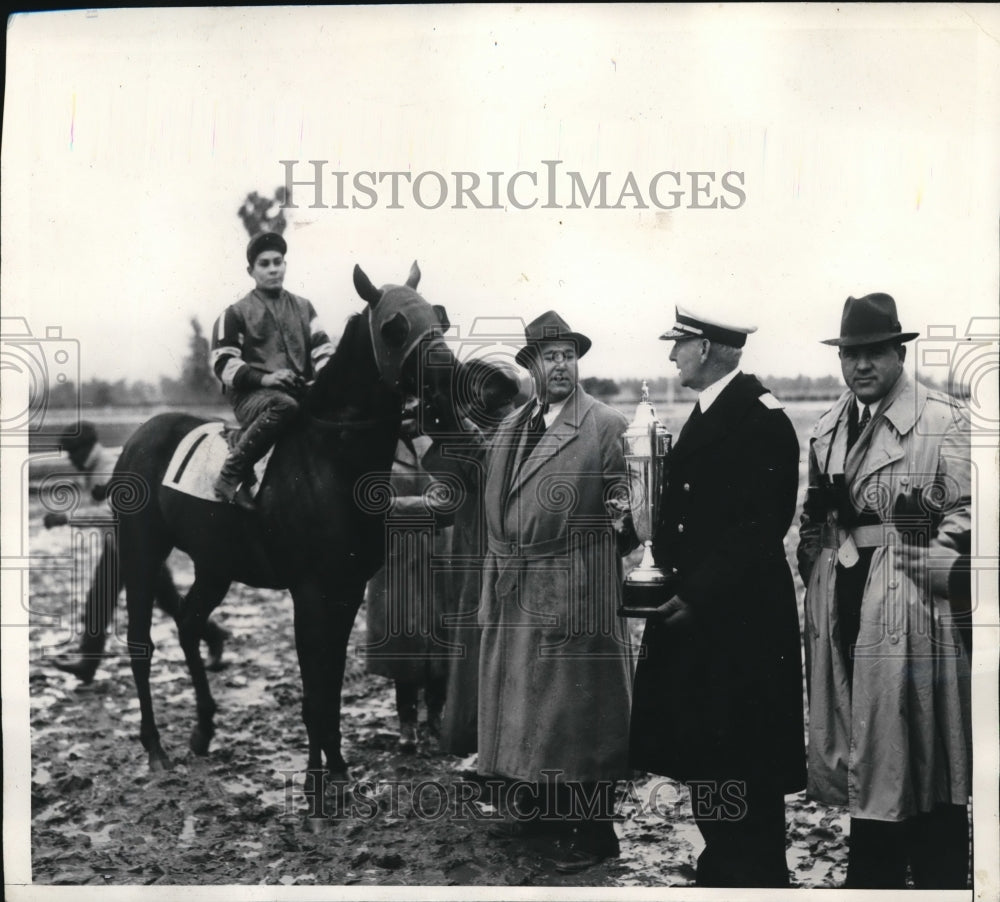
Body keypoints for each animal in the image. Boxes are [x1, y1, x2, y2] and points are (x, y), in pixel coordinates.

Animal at [109, 264, 464, 820]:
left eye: (439, 317)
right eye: (393, 328)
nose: (449, 379)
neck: (331, 458)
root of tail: (144, 432)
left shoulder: (348, 589)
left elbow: (332, 680)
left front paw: (338, 770)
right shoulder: (310, 592)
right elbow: (314, 687)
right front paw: (316, 788)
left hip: (215, 564)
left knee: (189, 624)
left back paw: (203, 730)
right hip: (141, 552)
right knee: (140, 642)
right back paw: (155, 749)